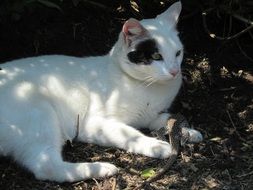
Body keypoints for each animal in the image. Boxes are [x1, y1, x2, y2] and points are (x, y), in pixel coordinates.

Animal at [0, 1, 202, 183]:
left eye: (178, 53)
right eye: (156, 56)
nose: (175, 71)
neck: (149, 87)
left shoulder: (150, 116)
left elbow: (165, 120)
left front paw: (189, 132)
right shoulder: (92, 123)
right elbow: (130, 134)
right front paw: (155, 146)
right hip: (38, 111)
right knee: (45, 167)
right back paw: (100, 168)